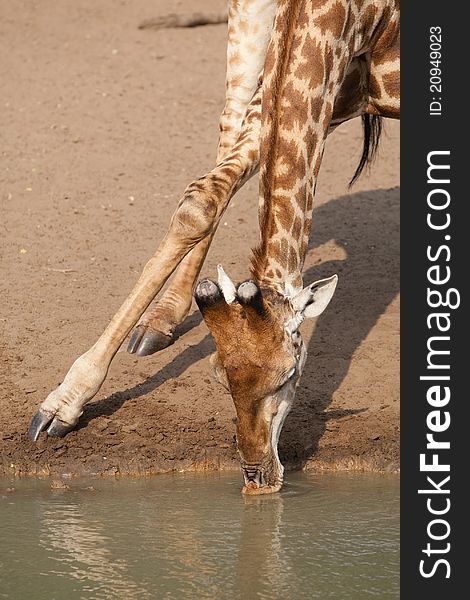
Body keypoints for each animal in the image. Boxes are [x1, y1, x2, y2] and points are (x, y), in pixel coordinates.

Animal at [28, 0, 400, 494]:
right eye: (219, 378)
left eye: (290, 375)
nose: (258, 477)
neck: (360, 14)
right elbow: (199, 200)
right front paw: (61, 405)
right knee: (228, 127)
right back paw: (160, 321)